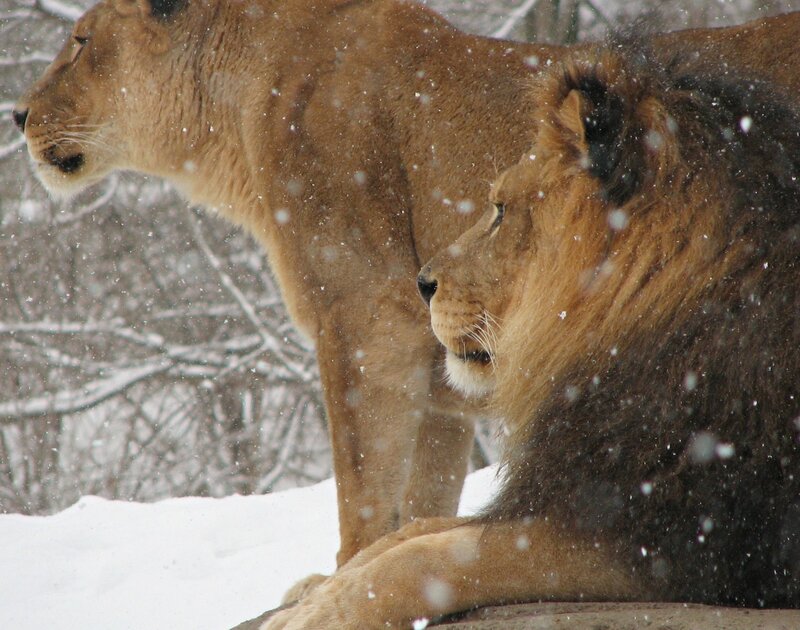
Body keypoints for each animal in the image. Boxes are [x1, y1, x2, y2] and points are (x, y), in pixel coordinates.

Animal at [12, 0, 800, 570]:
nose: (16, 114)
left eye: (80, 40)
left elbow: (364, 499)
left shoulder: (367, 318)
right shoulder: (445, 384)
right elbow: (422, 504)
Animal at [261, 46, 800, 629]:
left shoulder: (667, 536)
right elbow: (413, 534)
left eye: (500, 210)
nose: (422, 283)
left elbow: (433, 558)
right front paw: (314, 592)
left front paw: (318, 613)